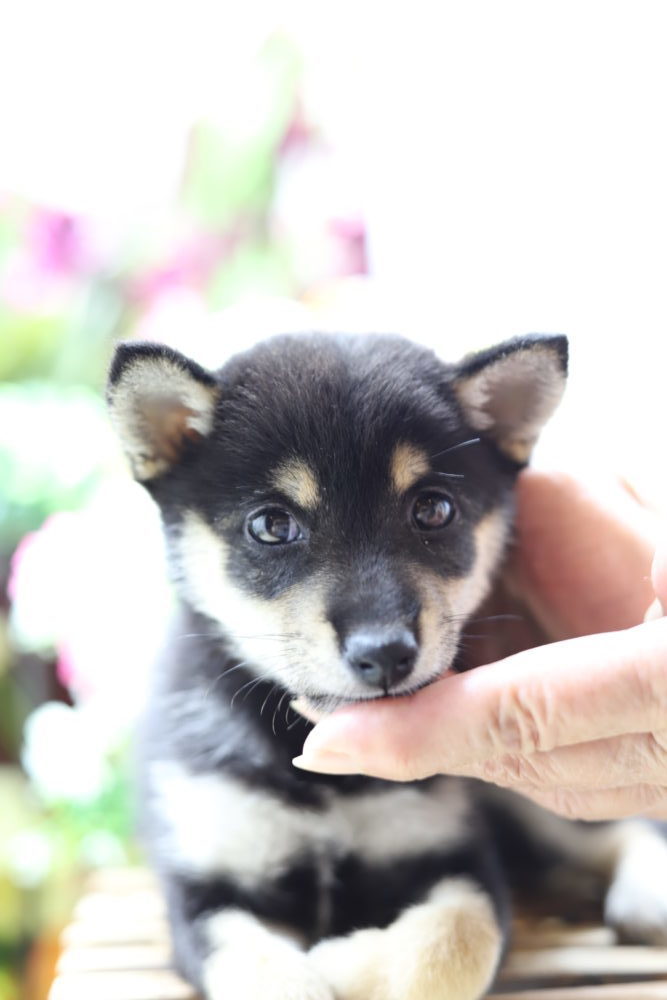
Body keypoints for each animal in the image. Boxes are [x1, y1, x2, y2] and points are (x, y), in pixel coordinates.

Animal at [107, 336, 667, 1000]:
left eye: (433, 509)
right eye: (272, 523)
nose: (385, 653)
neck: (327, 786)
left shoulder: (454, 852)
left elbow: (456, 943)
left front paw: (346, 963)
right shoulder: (206, 885)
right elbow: (267, 974)